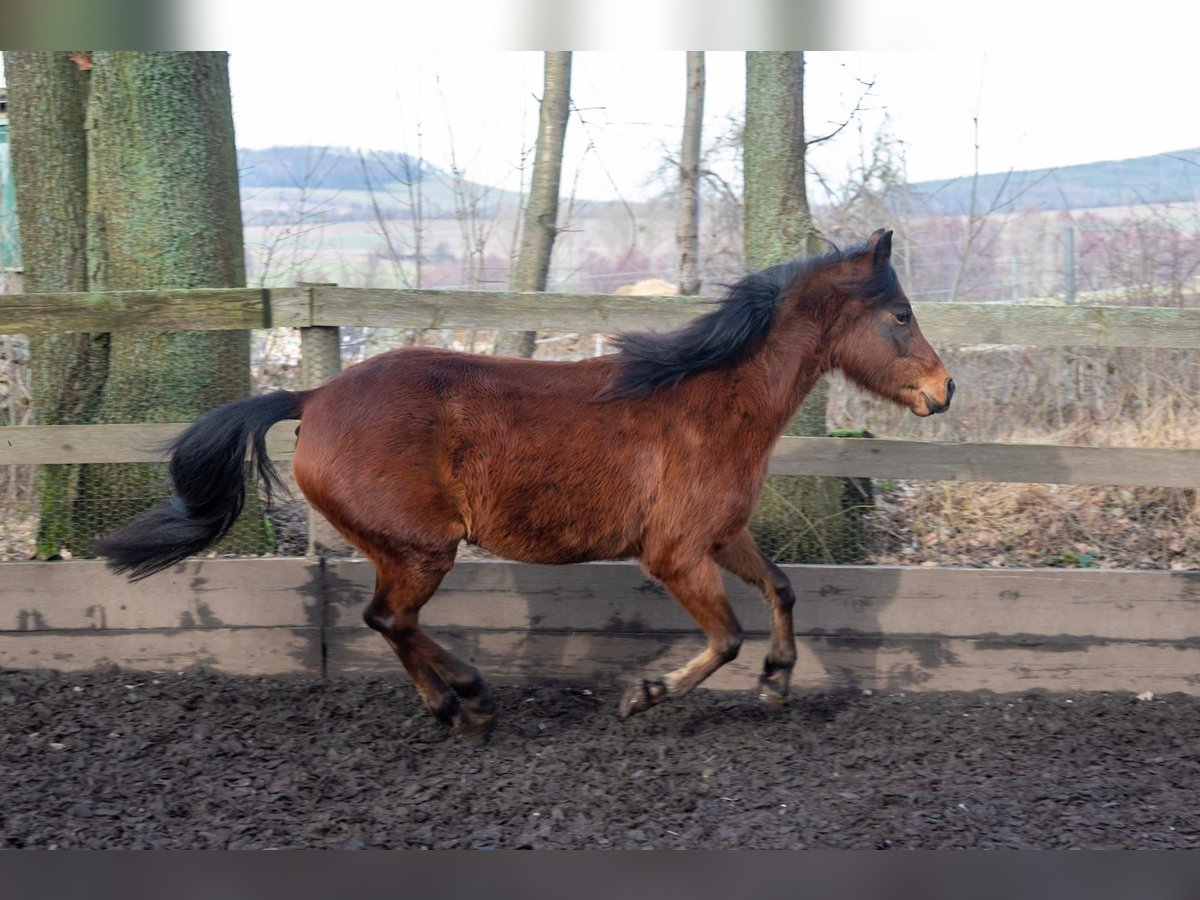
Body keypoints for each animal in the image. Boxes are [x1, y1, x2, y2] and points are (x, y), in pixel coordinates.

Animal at [93, 230, 955, 739]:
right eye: (901, 313)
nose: (945, 390)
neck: (713, 401)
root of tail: (312, 397)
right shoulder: (675, 555)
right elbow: (725, 638)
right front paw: (645, 694)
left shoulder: (721, 535)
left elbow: (781, 589)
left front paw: (777, 685)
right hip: (421, 550)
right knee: (388, 619)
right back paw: (468, 698)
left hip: (402, 551)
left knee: (387, 621)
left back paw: (455, 701)